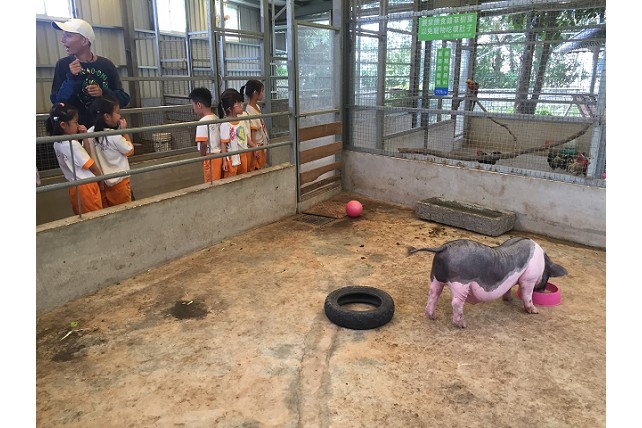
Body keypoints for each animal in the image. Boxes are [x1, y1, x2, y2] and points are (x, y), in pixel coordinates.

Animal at [407, 237, 567, 328]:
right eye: (548, 276)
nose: (542, 290)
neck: (543, 262)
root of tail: (444, 247)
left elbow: (508, 288)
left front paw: (508, 299)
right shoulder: (529, 279)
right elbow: (527, 296)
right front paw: (535, 311)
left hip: (435, 277)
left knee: (433, 294)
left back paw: (432, 316)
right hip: (461, 283)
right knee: (456, 303)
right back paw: (462, 325)